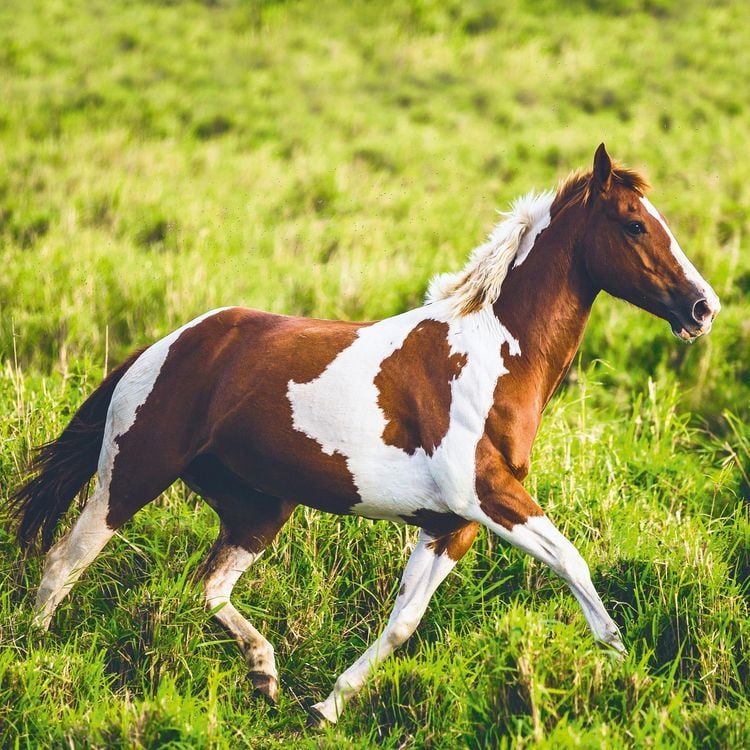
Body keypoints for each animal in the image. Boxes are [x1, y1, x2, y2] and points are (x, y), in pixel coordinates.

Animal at [10, 144, 720, 724]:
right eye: (634, 224)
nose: (703, 307)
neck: (493, 357)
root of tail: (164, 346)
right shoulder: (486, 496)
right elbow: (572, 561)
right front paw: (627, 669)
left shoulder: (450, 524)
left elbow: (404, 622)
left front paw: (329, 704)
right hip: (133, 474)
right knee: (64, 561)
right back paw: (34, 656)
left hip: (259, 507)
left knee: (210, 585)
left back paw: (265, 674)